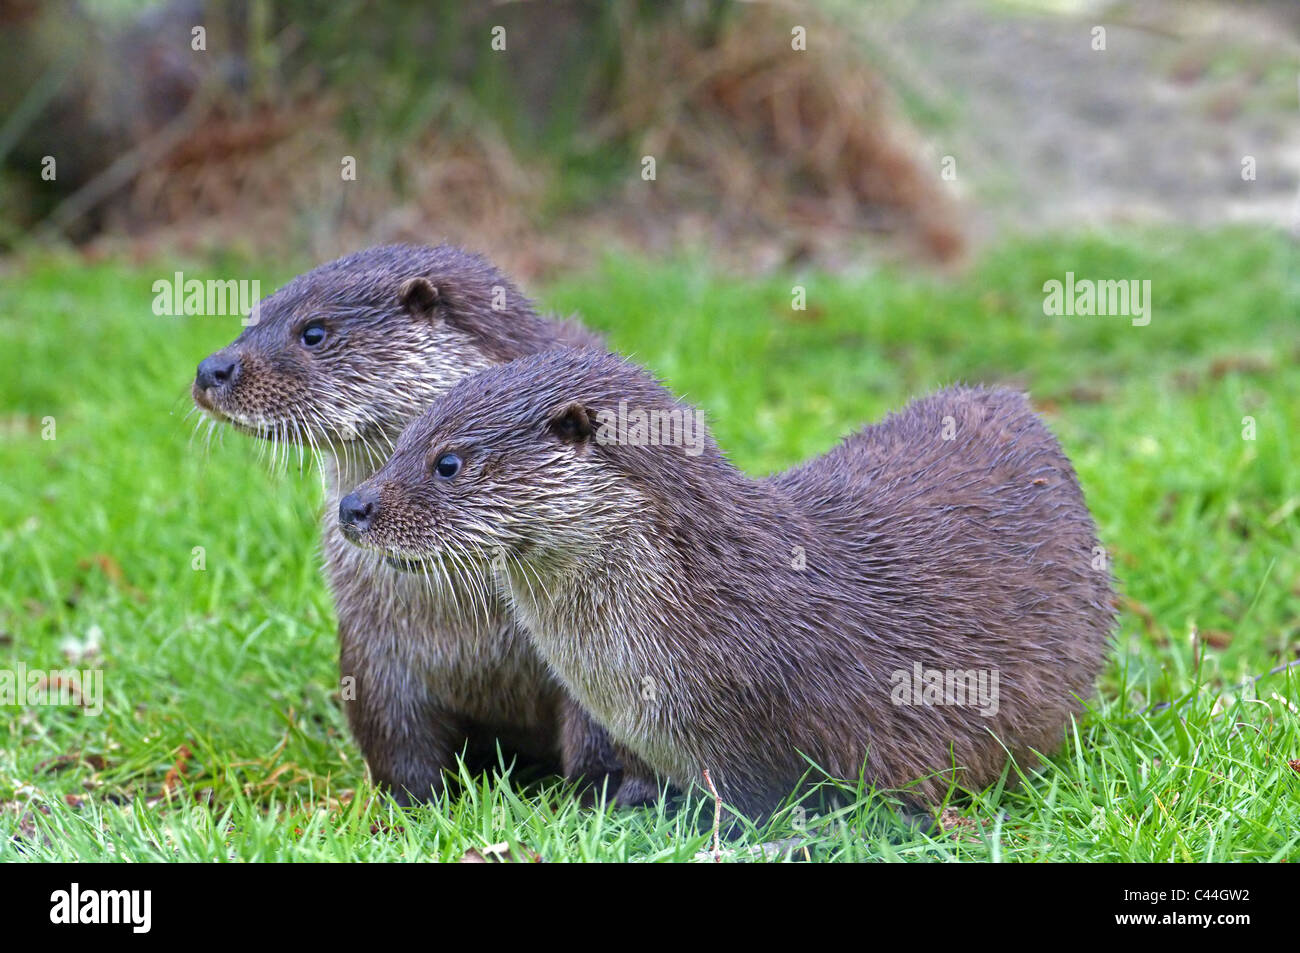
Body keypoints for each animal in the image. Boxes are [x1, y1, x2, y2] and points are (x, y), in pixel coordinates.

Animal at [188, 245, 655, 800]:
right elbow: (397, 744)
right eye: (251, 318)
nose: (211, 368)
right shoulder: (376, 653)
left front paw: (595, 803)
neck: (465, 630)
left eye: (313, 332)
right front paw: (411, 806)